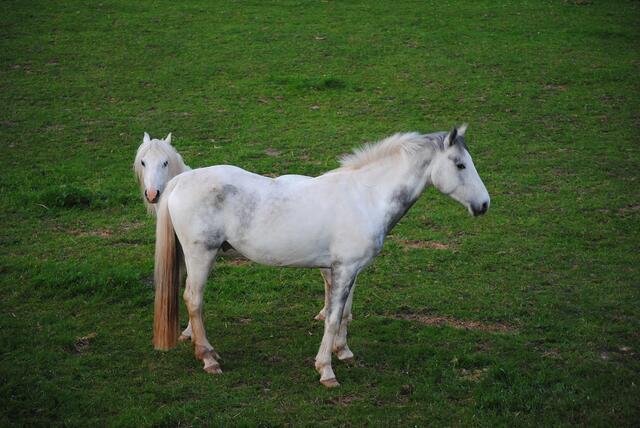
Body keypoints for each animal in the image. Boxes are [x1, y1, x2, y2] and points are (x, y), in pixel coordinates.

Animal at [152, 125, 490, 387]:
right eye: (460, 164)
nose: (484, 204)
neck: (365, 197)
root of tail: (180, 181)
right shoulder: (344, 269)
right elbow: (332, 315)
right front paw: (326, 370)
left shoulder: (345, 270)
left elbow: (344, 312)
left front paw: (344, 352)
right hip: (201, 256)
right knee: (194, 300)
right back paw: (208, 358)